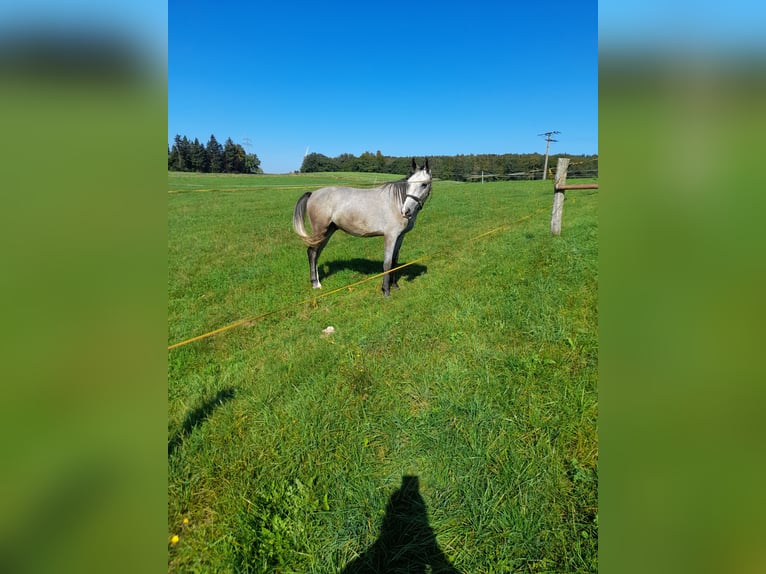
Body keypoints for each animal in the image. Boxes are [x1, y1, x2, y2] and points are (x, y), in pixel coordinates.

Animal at [292, 160, 432, 300]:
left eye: (424, 184)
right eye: (409, 183)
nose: (405, 211)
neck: (396, 202)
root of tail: (313, 194)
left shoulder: (400, 236)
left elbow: (394, 261)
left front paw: (395, 286)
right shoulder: (390, 236)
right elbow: (387, 263)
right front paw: (386, 291)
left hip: (327, 232)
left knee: (316, 253)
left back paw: (317, 281)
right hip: (320, 231)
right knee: (312, 252)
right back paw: (315, 284)